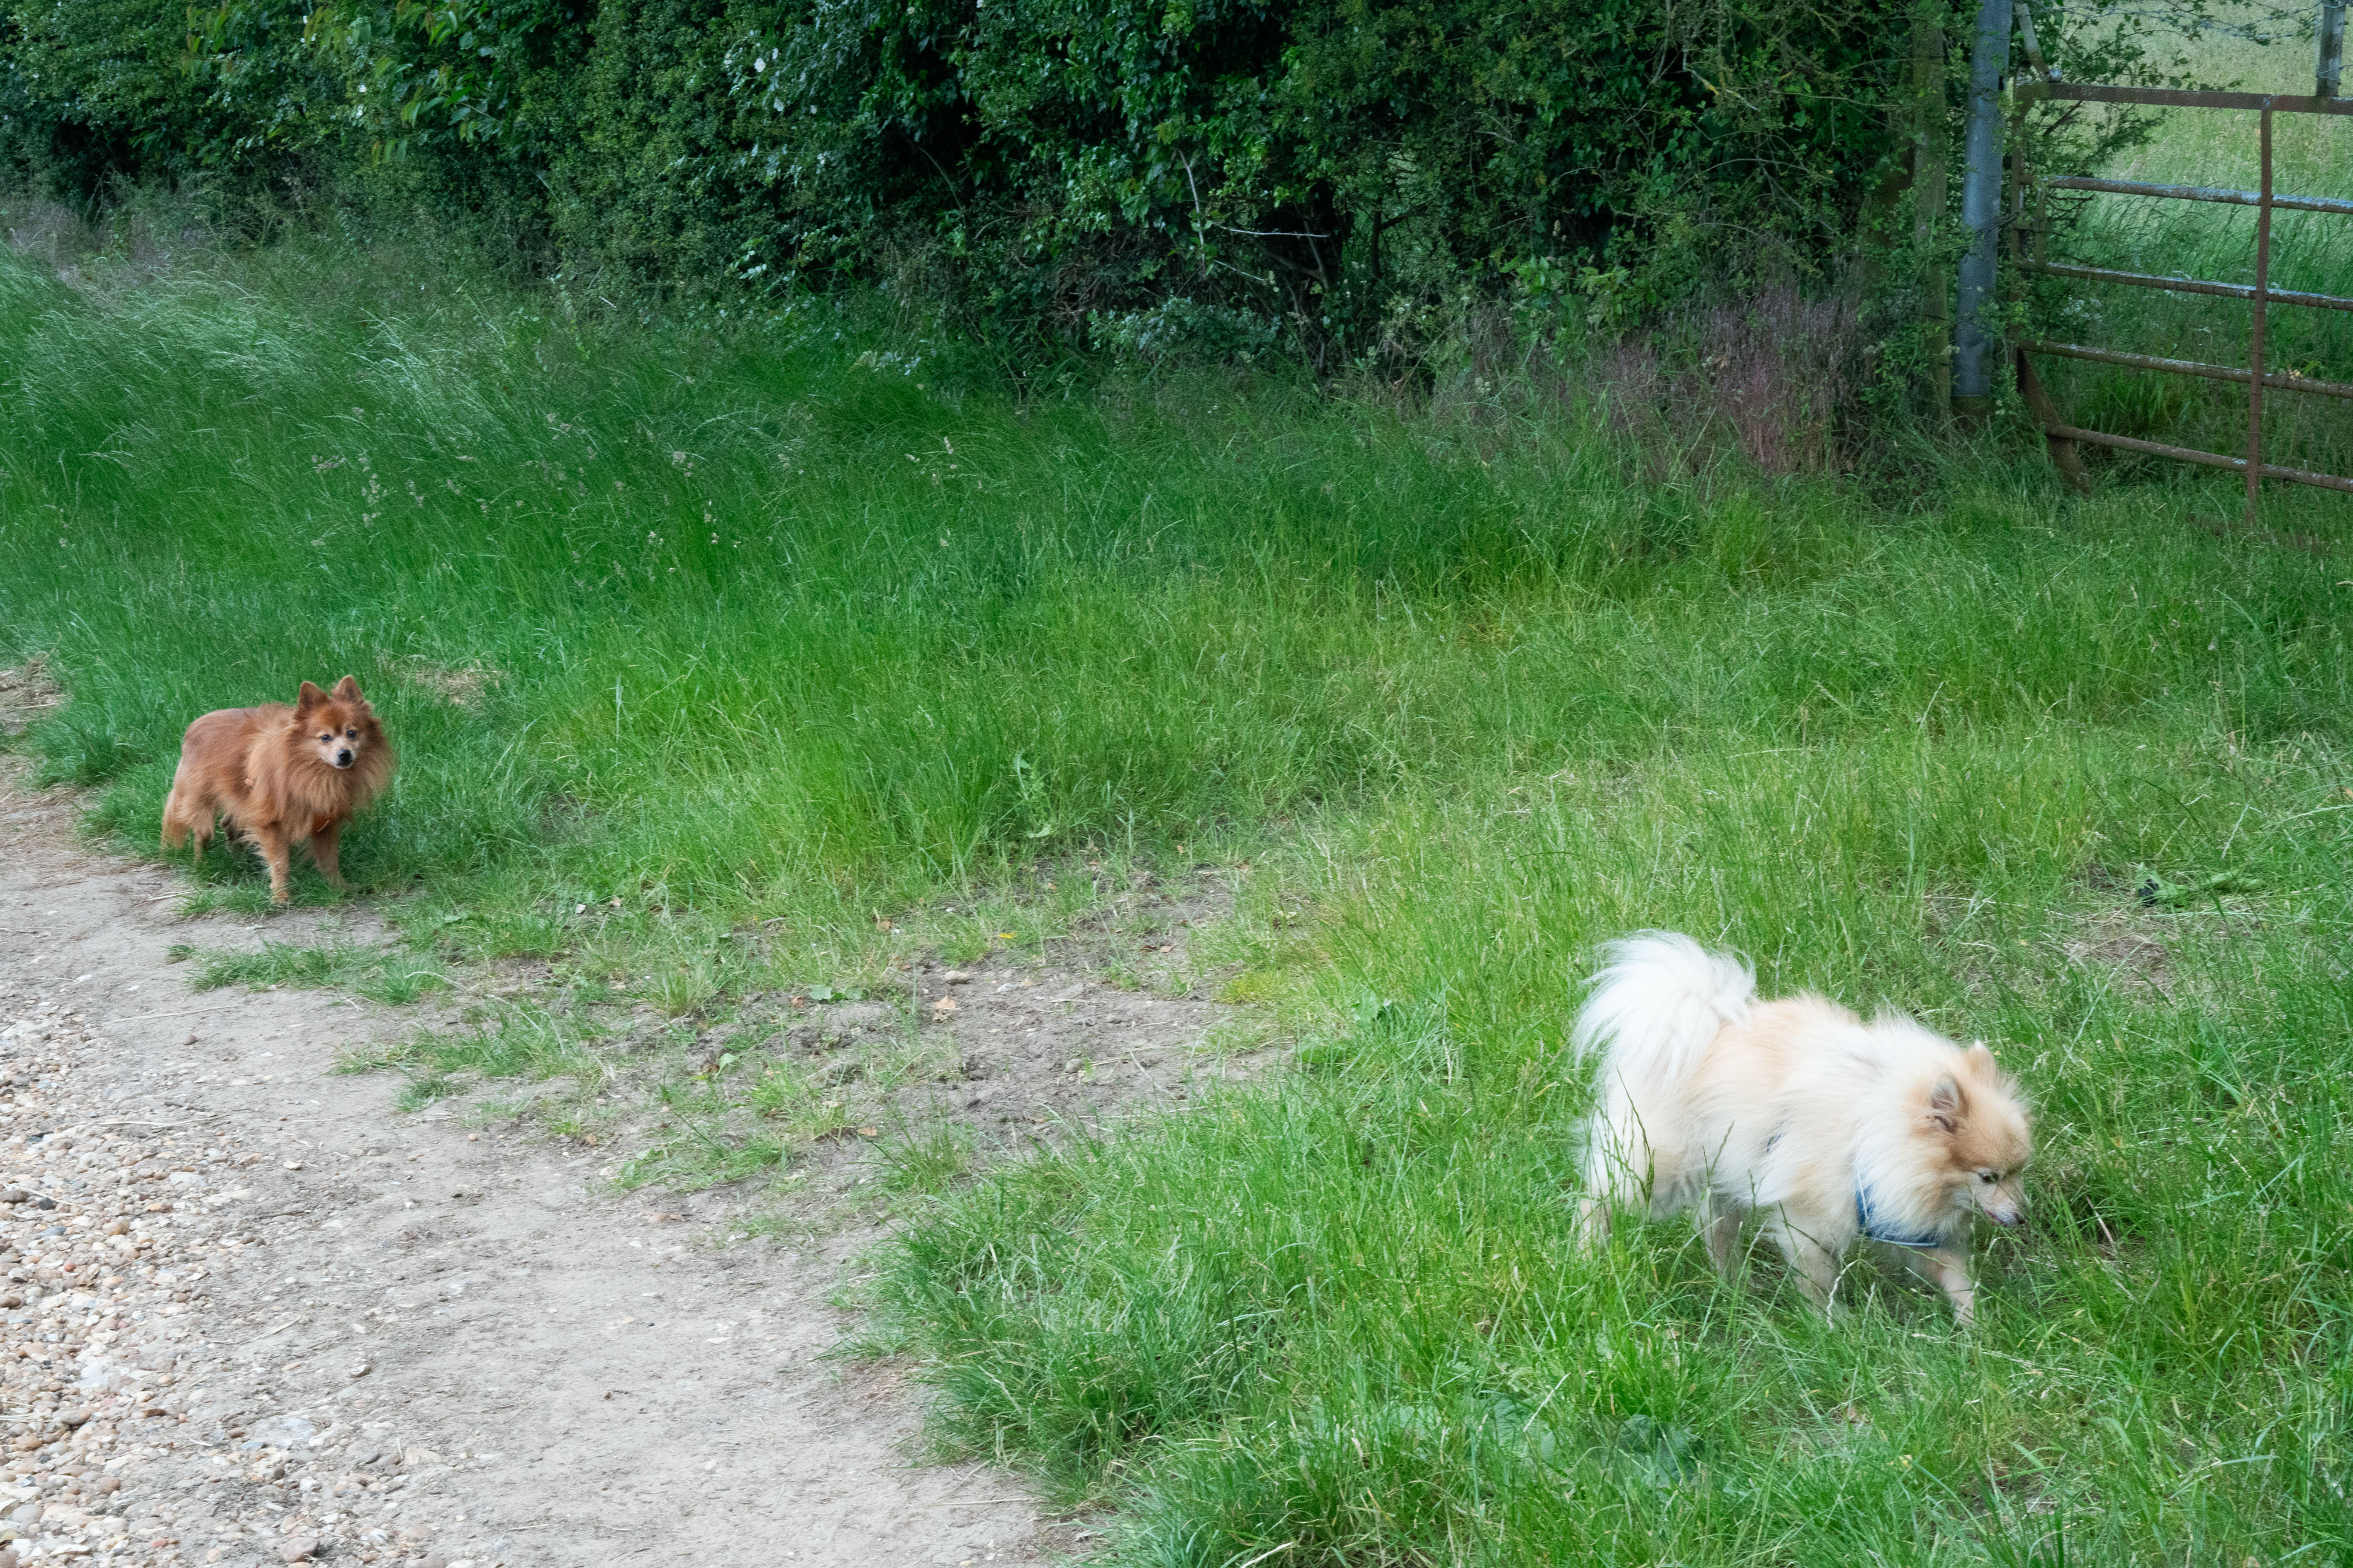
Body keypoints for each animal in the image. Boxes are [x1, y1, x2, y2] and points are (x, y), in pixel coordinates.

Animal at [161, 677, 396, 905]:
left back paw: (238, 858)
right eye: (325, 738)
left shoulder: (325, 824)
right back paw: (201, 864)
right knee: (201, 834)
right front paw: (280, 896)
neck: (316, 774)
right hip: (201, 802)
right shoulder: (271, 822)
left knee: (228, 823)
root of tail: (193, 727)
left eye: (352, 733)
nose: (345, 754)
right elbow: (280, 863)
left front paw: (339, 888)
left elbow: (330, 861)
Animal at [1572, 932, 2030, 1325]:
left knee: (1715, 1229)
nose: (2023, 1216)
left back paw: (1735, 1287)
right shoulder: (1808, 1220)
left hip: (1726, 1172)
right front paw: (1831, 1324)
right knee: (1598, 1201)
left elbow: (1957, 1278)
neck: (1877, 1130)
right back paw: (1587, 1258)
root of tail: (1699, 1020)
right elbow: (1818, 1280)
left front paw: (1976, 1329)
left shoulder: (1915, 1228)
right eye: (1988, 1177)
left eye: (2018, 1172)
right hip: (1658, 1166)